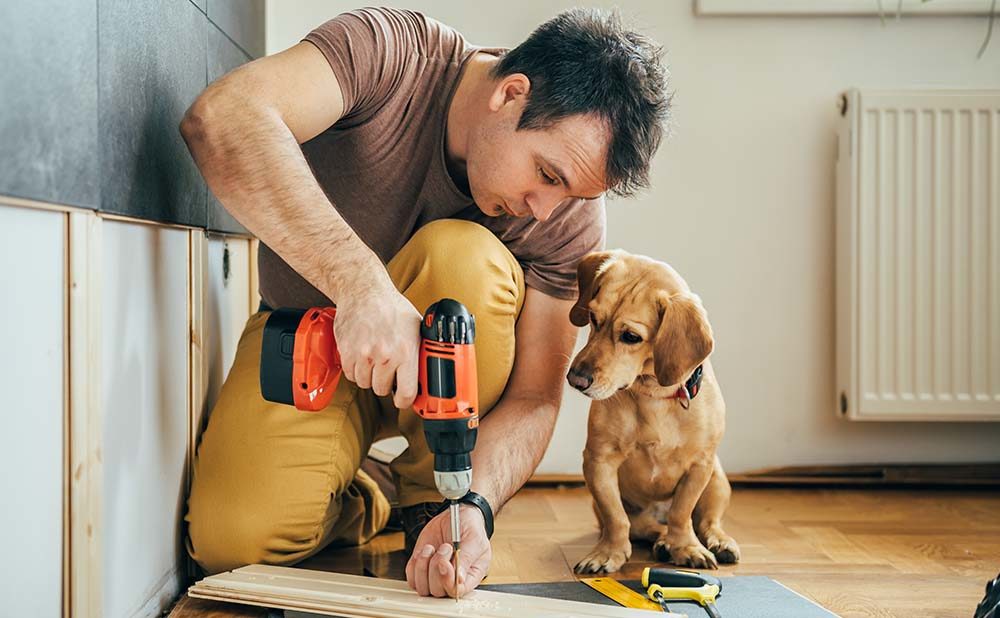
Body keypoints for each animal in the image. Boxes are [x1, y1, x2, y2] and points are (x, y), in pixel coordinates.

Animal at [568, 248, 740, 572]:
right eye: (593, 318)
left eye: (631, 337)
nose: (575, 379)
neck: (653, 396)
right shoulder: (599, 462)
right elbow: (616, 518)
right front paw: (608, 552)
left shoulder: (700, 466)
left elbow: (681, 514)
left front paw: (686, 547)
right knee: (647, 527)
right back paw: (662, 543)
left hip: (717, 481)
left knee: (707, 521)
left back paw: (717, 541)